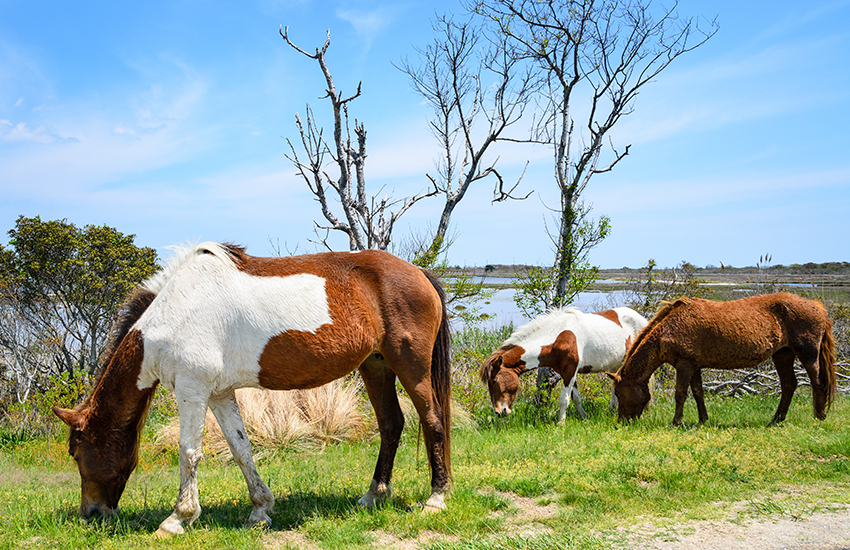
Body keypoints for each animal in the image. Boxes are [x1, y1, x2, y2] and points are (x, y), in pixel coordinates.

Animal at [52, 246, 450, 540]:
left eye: (76, 452)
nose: (92, 514)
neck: (173, 314)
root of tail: (419, 273)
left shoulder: (193, 389)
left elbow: (189, 453)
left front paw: (178, 519)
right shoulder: (219, 394)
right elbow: (241, 450)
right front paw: (260, 510)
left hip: (410, 366)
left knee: (432, 420)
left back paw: (436, 497)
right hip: (375, 366)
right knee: (391, 424)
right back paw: (373, 495)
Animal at [476, 308, 644, 424]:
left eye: (494, 381)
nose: (499, 412)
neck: (558, 337)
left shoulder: (570, 371)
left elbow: (564, 399)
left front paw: (560, 423)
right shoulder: (567, 373)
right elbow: (576, 398)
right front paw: (584, 417)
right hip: (615, 365)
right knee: (614, 387)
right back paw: (611, 411)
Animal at [604, 294, 836, 426]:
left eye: (619, 393)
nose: (622, 422)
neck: (671, 327)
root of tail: (818, 307)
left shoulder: (684, 365)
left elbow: (681, 394)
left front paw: (676, 422)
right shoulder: (694, 365)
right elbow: (698, 393)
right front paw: (702, 420)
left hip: (807, 354)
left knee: (817, 382)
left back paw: (819, 416)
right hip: (783, 354)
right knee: (789, 385)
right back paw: (776, 419)